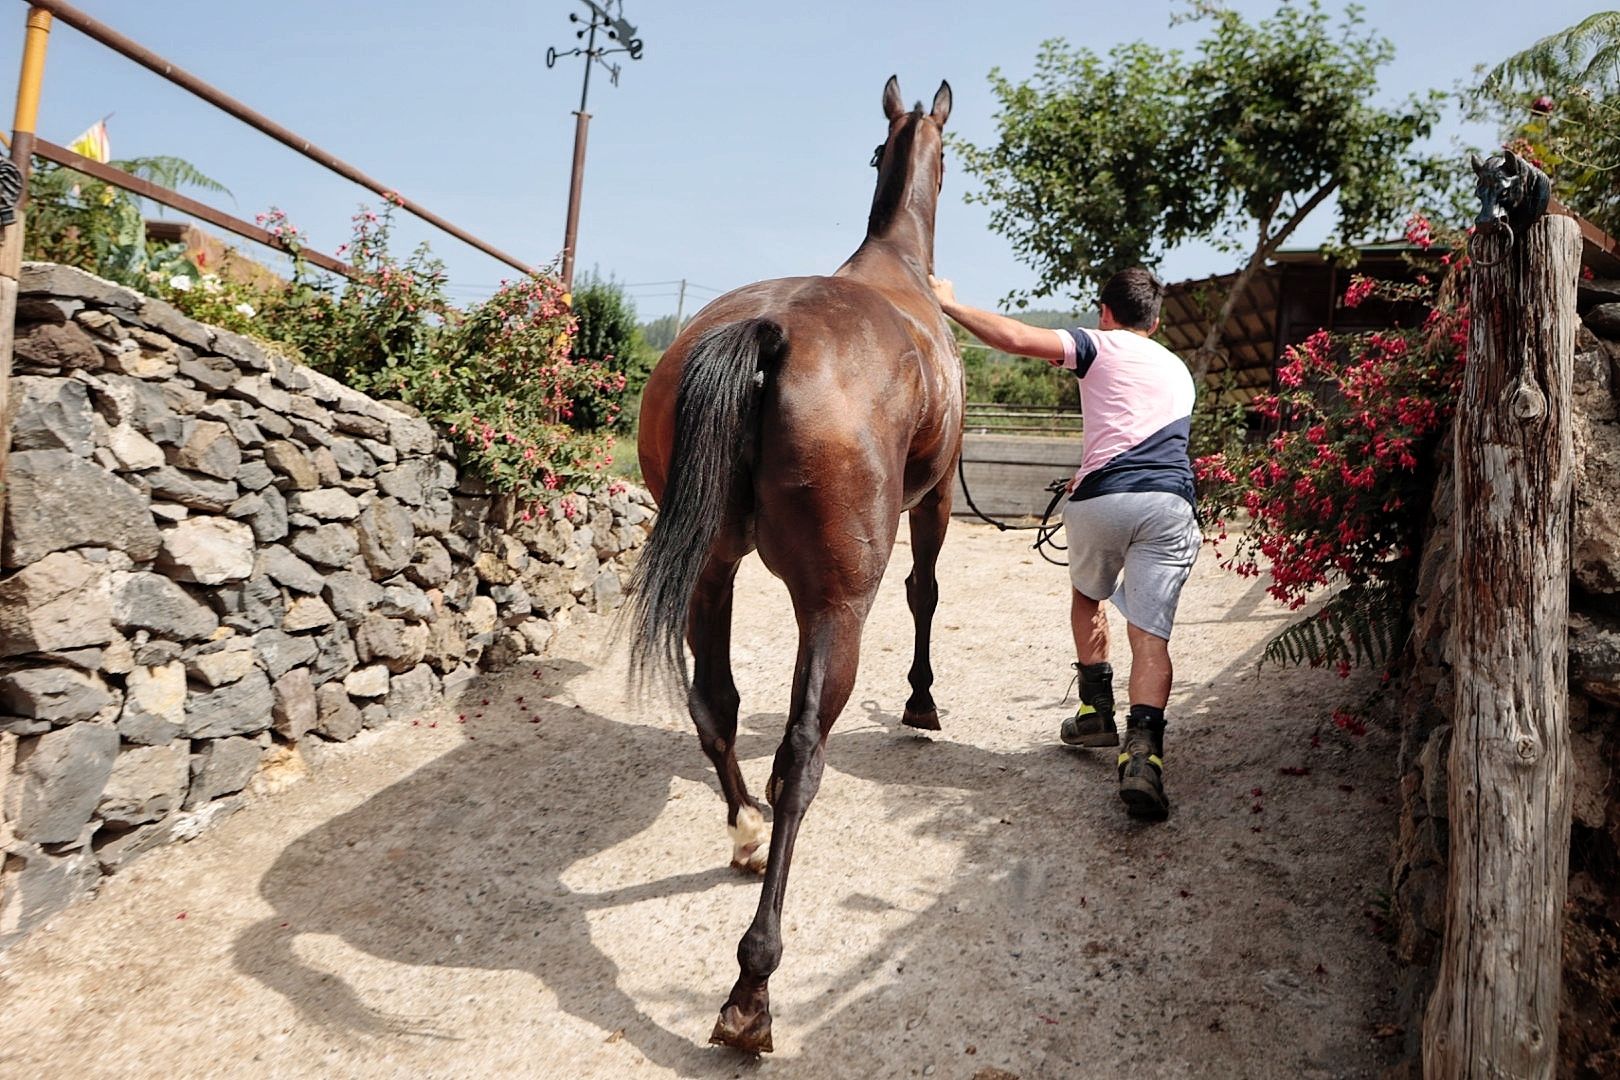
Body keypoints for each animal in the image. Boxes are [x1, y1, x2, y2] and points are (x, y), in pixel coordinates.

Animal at [625, 78, 959, 1055]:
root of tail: (766, 333)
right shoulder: (937, 499)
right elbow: (926, 592)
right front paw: (922, 702)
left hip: (711, 570)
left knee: (715, 705)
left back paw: (743, 833)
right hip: (837, 606)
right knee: (801, 755)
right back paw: (752, 987)